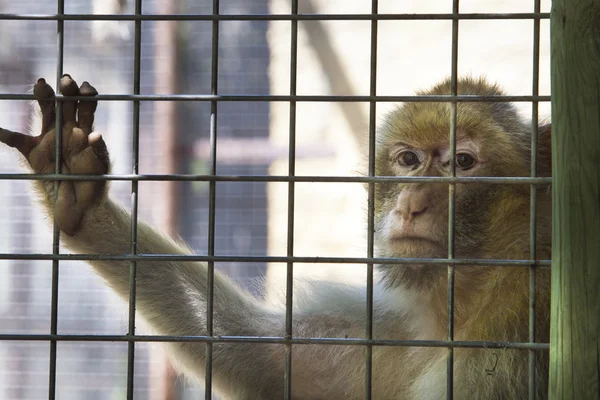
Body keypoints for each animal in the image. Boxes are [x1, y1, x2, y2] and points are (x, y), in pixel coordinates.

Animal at [0, 73, 552, 398]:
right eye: (409, 160)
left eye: (463, 162)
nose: (411, 204)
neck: (467, 302)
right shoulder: (401, 332)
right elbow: (267, 360)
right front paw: (75, 187)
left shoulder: (508, 339)